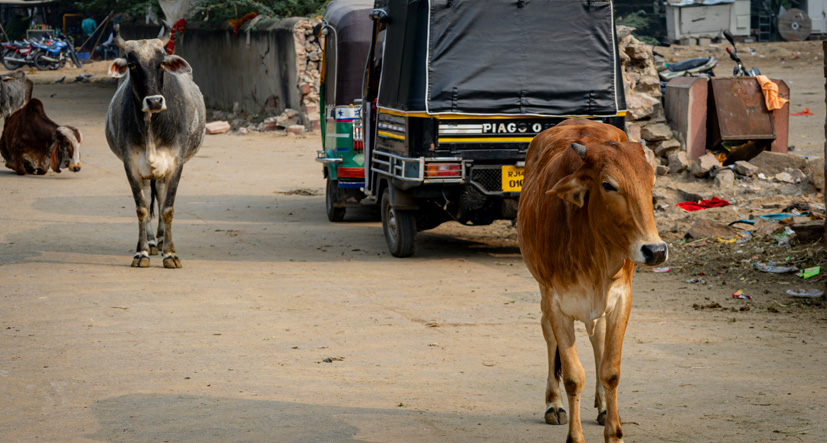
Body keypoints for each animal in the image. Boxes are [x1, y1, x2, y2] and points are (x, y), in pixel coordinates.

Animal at [106, 24, 206, 268]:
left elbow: (167, 208)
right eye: (132, 64)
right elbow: (141, 208)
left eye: (161, 63)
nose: (154, 101)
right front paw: (141, 252)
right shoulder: (130, 165)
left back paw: (161, 241)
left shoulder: (175, 164)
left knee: (159, 195)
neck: (152, 122)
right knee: (148, 195)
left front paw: (170, 254)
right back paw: (151, 242)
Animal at [516, 119, 668, 443]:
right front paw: (575, 436)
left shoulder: (622, 298)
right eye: (608, 185)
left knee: (598, 339)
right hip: (542, 291)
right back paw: (554, 404)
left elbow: (610, 370)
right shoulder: (557, 303)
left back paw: (603, 407)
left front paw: (615, 430)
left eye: (650, 184)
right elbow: (573, 376)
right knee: (547, 334)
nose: (655, 250)